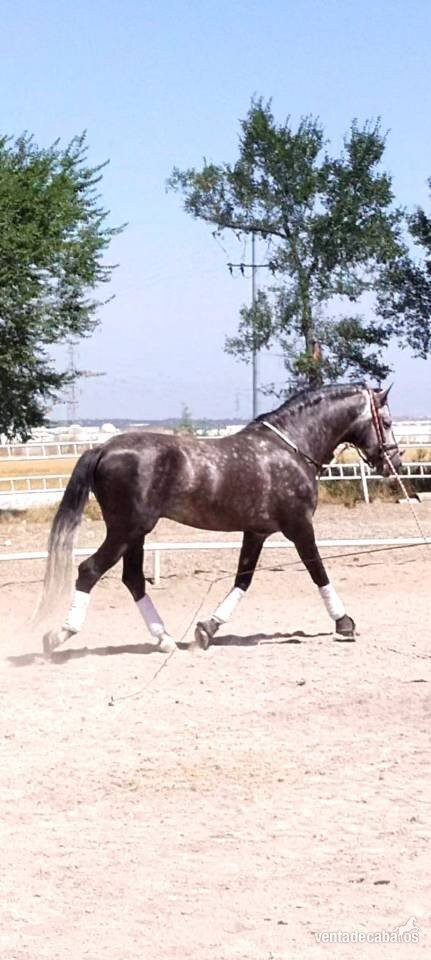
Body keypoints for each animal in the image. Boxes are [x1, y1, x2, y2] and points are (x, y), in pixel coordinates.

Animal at [39, 382, 401, 655]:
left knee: (133, 580)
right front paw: (344, 623)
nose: (393, 462)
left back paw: (165, 640)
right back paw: (58, 636)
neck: (292, 449)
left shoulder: (256, 532)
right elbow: (317, 571)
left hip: (135, 534)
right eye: (386, 422)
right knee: (90, 570)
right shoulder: (298, 526)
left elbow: (243, 579)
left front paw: (207, 629)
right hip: (126, 530)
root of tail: (103, 449)